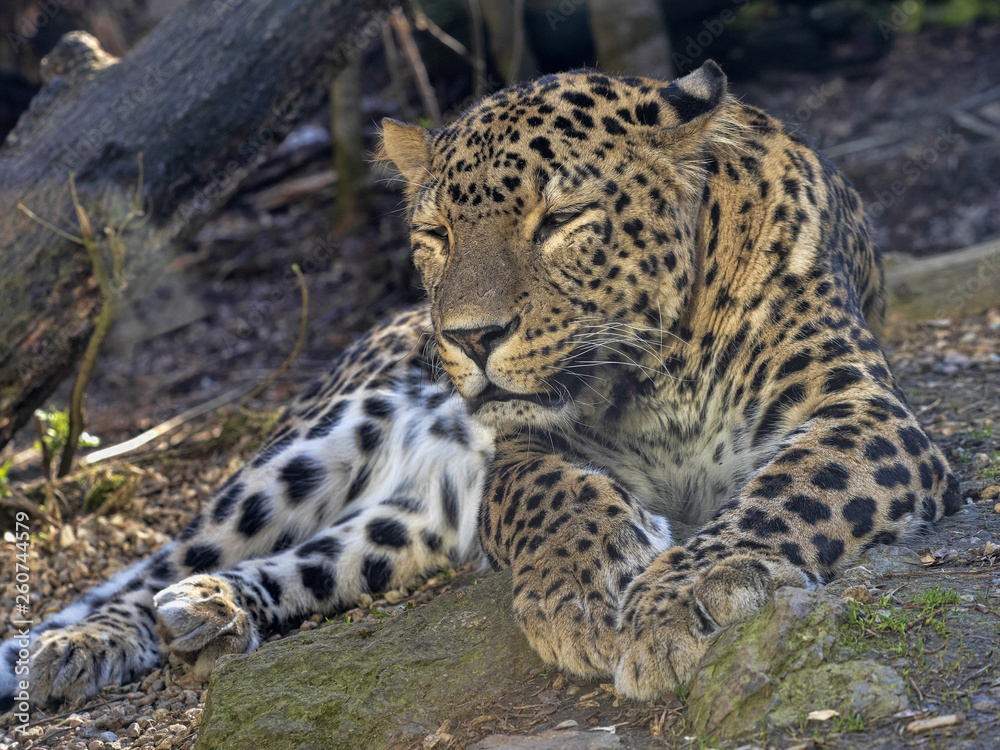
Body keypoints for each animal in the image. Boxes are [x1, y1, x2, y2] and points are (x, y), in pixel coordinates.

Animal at [0, 61, 960, 712]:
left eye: (562, 219)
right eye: (435, 233)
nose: (466, 338)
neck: (658, 369)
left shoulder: (862, 414)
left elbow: (786, 492)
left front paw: (680, 600)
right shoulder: (520, 444)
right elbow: (552, 493)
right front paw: (583, 593)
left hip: (404, 531)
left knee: (298, 565)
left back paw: (208, 615)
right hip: (306, 453)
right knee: (162, 565)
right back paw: (81, 643)